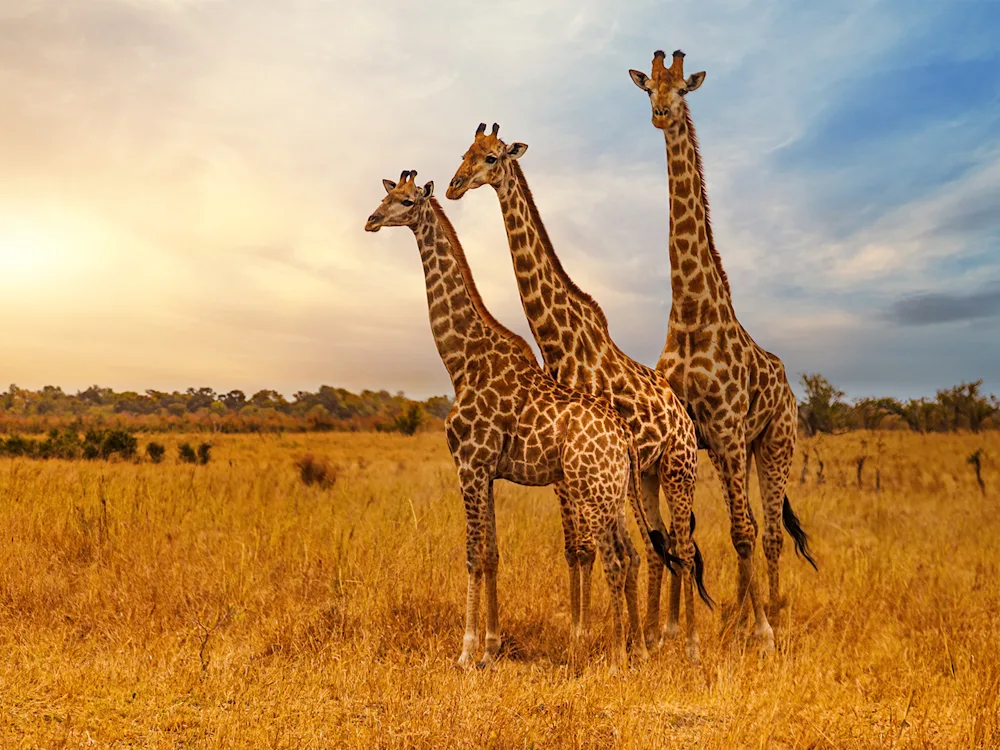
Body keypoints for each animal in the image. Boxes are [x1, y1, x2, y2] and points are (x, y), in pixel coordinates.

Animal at [364, 170, 675, 670]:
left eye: (407, 201)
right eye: (387, 194)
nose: (371, 220)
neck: (462, 362)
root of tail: (625, 439)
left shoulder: (469, 464)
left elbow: (472, 555)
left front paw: (466, 652)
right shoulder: (488, 471)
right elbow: (492, 553)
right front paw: (491, 647)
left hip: (594, 492)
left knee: (618, 557)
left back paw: (617, 655)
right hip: (610, 492)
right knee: (631, 554)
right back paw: (637, 650)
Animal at [446, 123, 709, 660]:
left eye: (490, 157)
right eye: (463, 153)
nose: (454, 186)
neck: (559, 340)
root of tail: (683, 415)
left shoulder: (576, 466)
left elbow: (590, 550)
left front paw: (591, 639)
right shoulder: (563, 471)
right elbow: (576, 551)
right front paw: (583, 633)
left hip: (679, 468)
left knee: (682, 545)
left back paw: (686, 641)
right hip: (646, 476)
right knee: (661, 548)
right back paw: (657, 634)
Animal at [628, 49, 818, 648]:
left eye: (683, 89)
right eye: (648, 89)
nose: (661, 114)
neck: (690, 313)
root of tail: (787, 385)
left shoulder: (730, 430)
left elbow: (740, 531)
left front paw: (762, 632)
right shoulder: (691, 432)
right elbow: (678, 534)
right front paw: (670, 630)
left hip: (775, 443)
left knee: (768, 530)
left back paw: (770, 612)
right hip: (740, 449)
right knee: (754, 526)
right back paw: (737, 612)